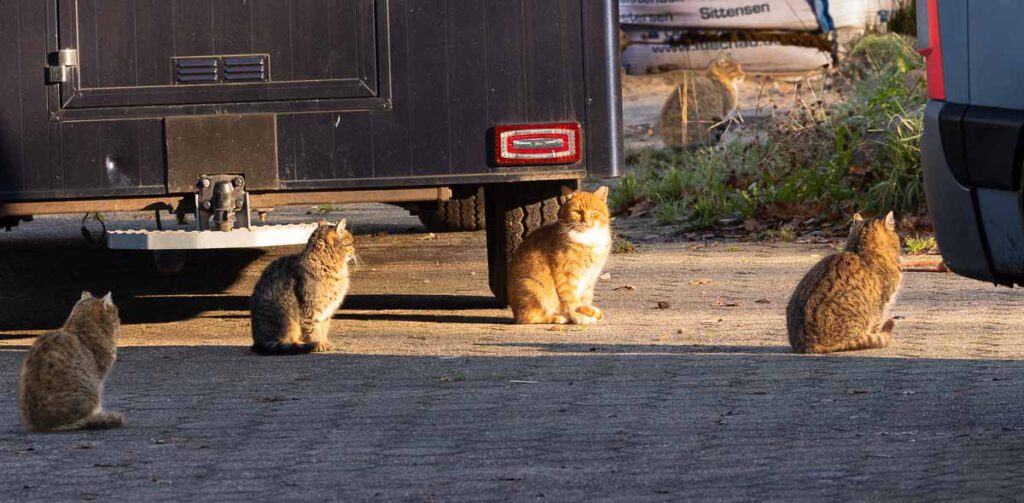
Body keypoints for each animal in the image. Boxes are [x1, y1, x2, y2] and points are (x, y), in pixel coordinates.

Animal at [250, 219, 356, 354]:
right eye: (351, 243)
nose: (355, 251)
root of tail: (257, 341)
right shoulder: (311, 309)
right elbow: (313, 329)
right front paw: (318, 344)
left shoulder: (326, 312)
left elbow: (324, 329)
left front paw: (325, 342)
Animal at [507, 187, 610, 325]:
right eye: (577, 212)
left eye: (594, 211)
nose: (586, 221)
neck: (588, 239)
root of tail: (514, 311)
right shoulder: (566, 275)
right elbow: (572, 302)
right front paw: (579, 317)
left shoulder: (589, 278)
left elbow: (584, 300)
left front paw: (587, 313)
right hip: (533, 288)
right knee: (526, 317)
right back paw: (557, 317)